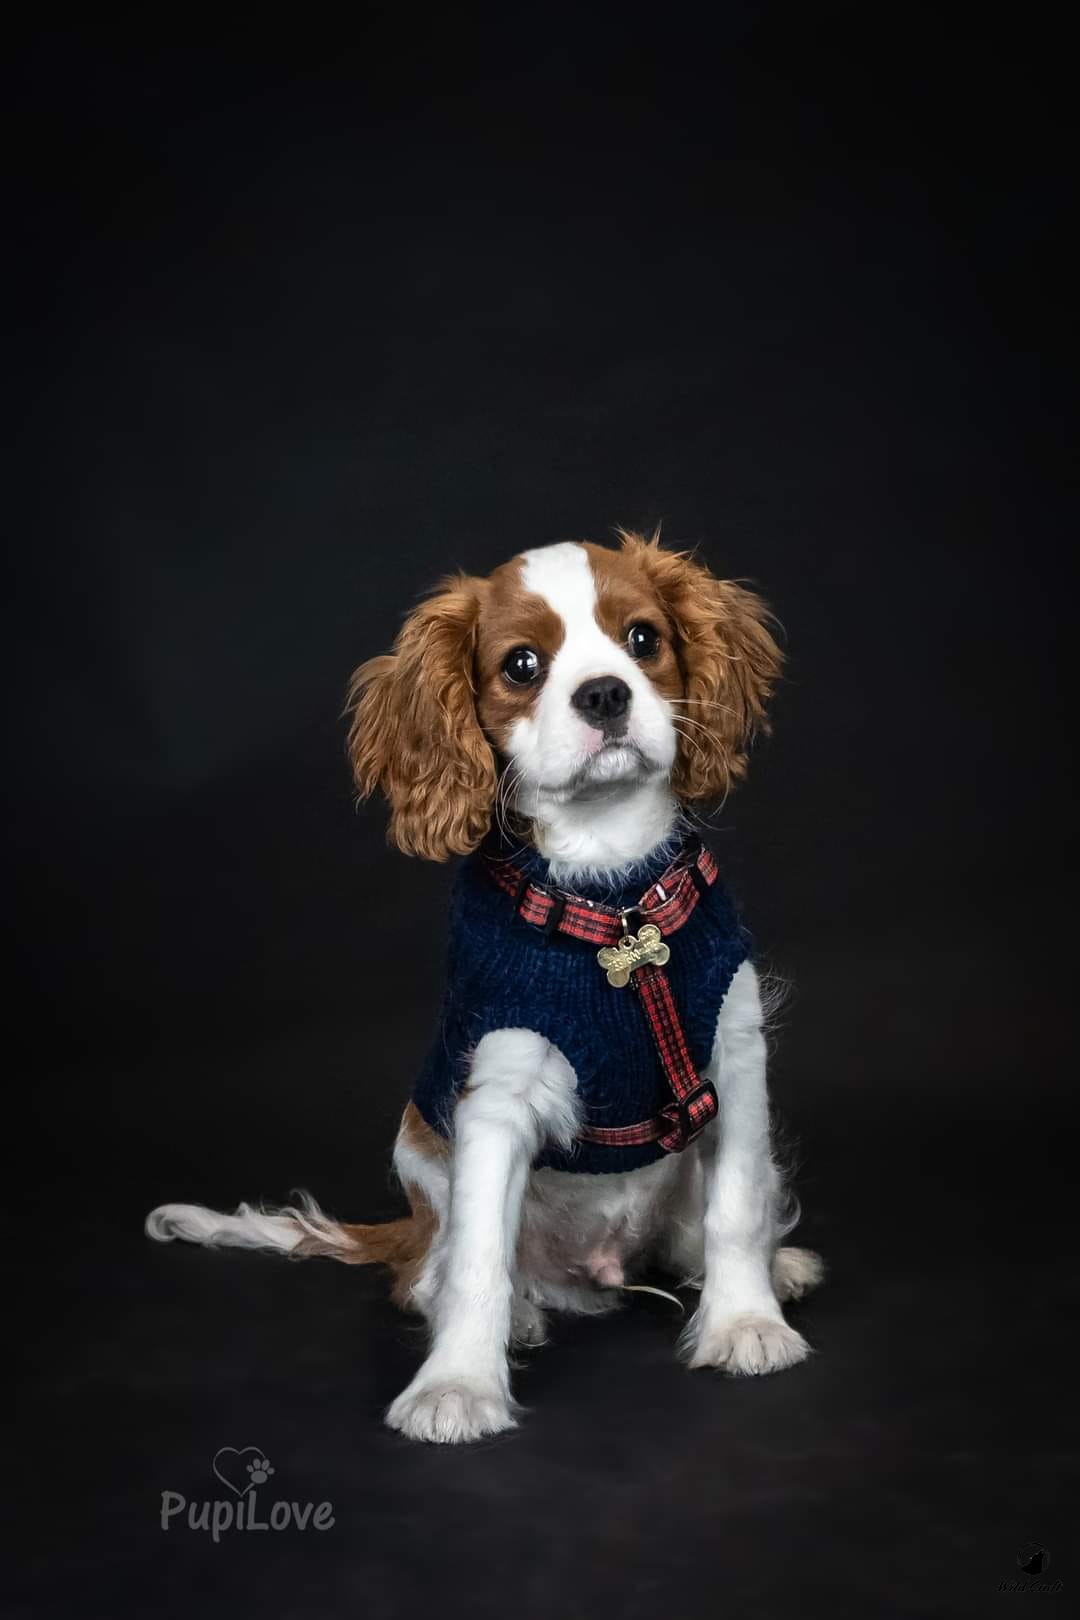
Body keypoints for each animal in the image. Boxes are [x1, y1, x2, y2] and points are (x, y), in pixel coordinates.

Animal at [147, 528, 823, 1443]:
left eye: (644, 638)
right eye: (522, 665)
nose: (606, 694)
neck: (613, 902)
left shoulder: (732, 1052)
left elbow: (739, 1204)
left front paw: (745, 1321)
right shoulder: (497, 1092)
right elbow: (476, 1263)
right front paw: (458, 1386)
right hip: (425, 1169)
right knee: (431, 1275)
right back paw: (518, 1316)